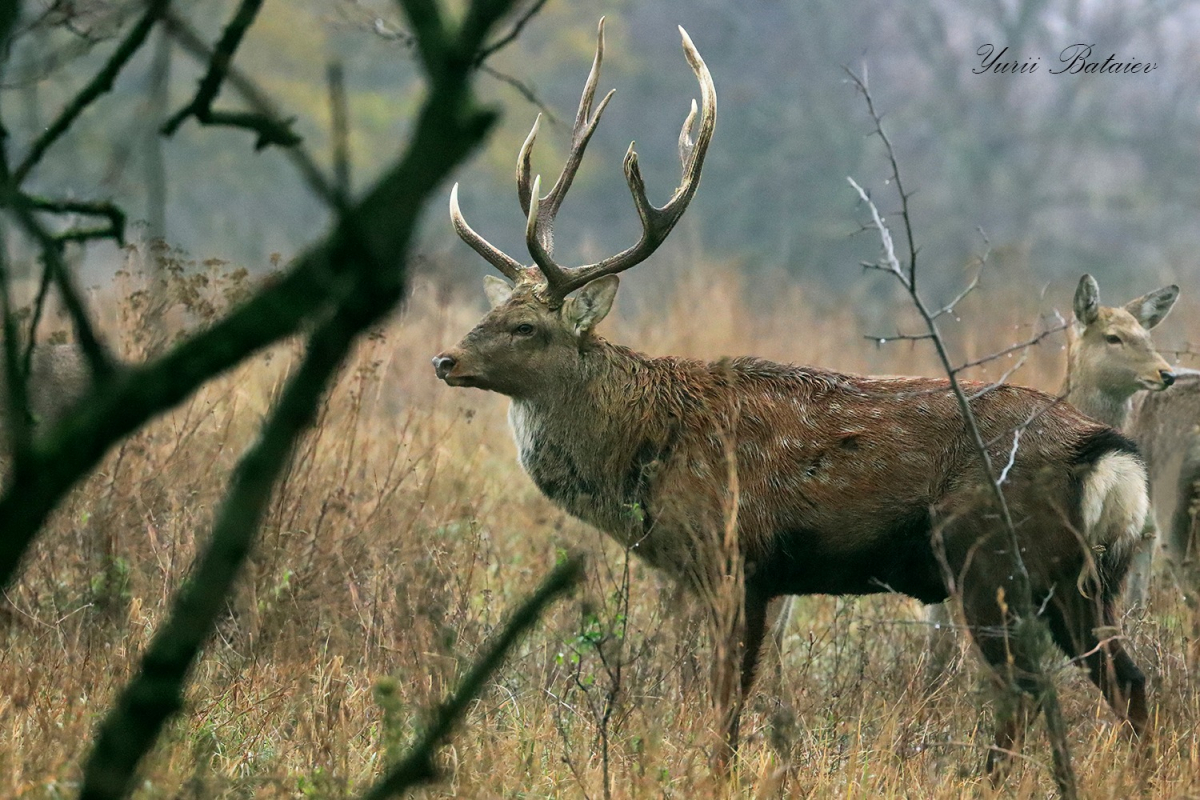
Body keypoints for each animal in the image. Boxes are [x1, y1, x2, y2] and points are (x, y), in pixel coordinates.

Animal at [434, 21, 1152, 777]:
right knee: (1128, 681)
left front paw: (715, 775)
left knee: (1023, 689)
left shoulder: (734, 558)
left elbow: (725, 701)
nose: (445, 359)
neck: (648, 450)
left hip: (991, 561)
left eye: (526, 326)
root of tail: (1108, 453)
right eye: (493, 312)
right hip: (1087, 579)